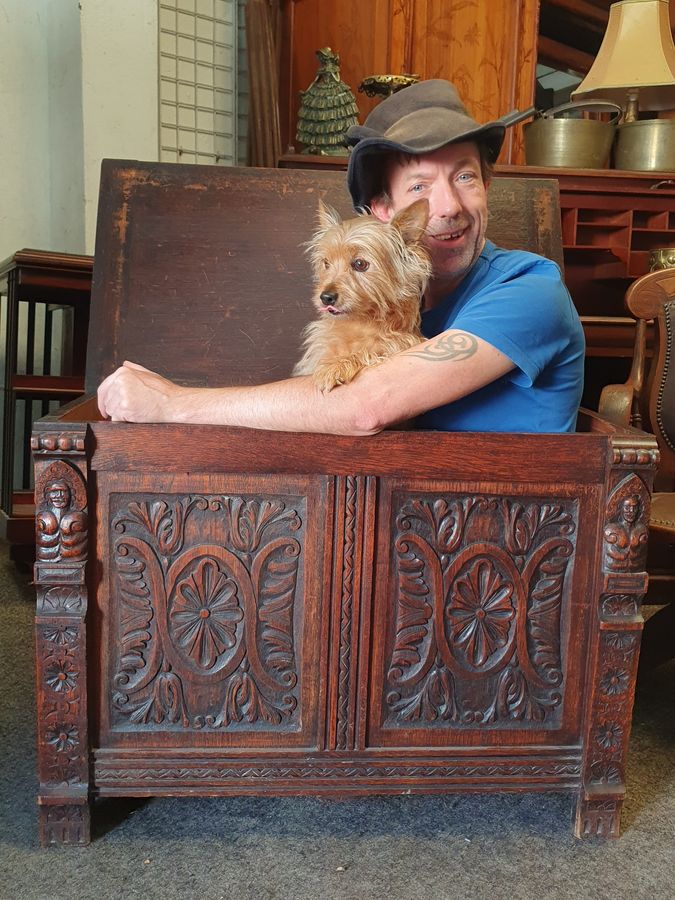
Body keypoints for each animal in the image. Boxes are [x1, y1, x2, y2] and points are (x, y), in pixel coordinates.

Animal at [292, 199, 430, 392]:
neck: (360, 323)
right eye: (326, 263)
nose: (325, 297)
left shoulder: (402, 342)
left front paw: (336, 365)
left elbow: (378, 348)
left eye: (360, 264)